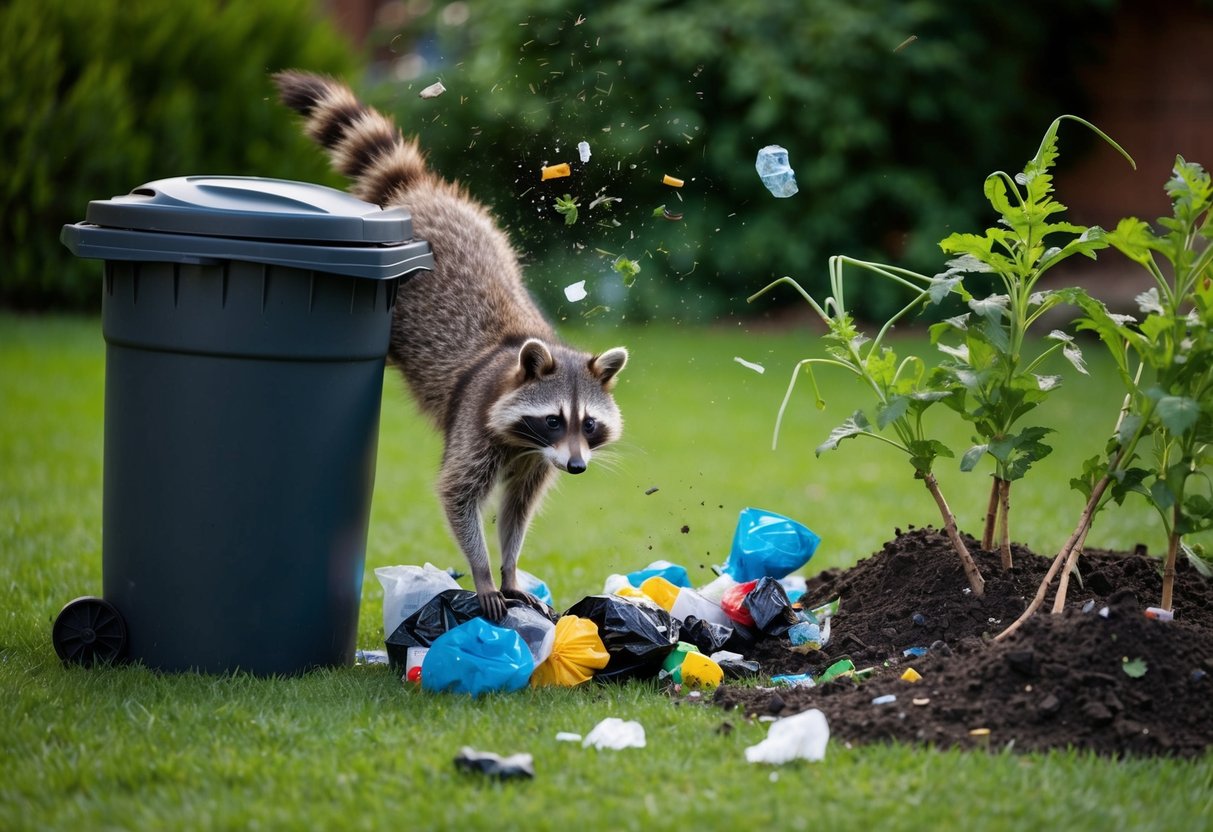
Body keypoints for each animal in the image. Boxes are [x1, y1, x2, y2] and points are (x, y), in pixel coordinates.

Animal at [273, 70, 628, 621]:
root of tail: (420, 191)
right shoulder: (477, 424)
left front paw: (509, 567)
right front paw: (483, 571)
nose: (576, 467)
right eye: (553, 419)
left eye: (588, 423)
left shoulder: (536, 461)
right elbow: (458, 496)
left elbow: (517, 509)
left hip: (489, 228)